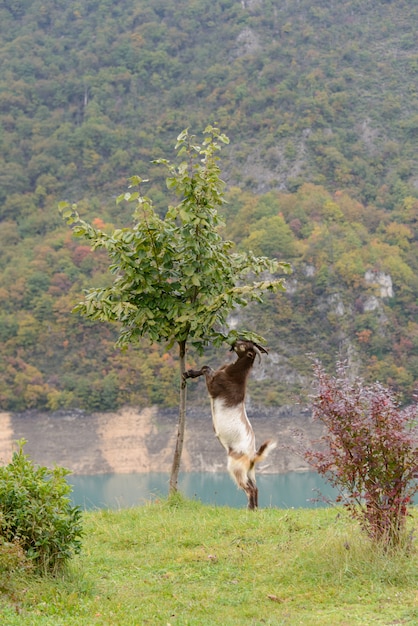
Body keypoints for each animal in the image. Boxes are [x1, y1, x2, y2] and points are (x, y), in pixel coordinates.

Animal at [182, 338, 274, 510]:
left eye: (244, 345)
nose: (234, 341)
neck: (234, 375)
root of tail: (252, 456)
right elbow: (207, 367)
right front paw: (189, 373)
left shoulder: (214, 387)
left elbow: (206, 369)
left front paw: (190, 373)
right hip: (249, 471)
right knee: (255, 487)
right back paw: (255, 509)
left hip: (235, 467)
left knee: (248, 488)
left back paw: (249, 509)